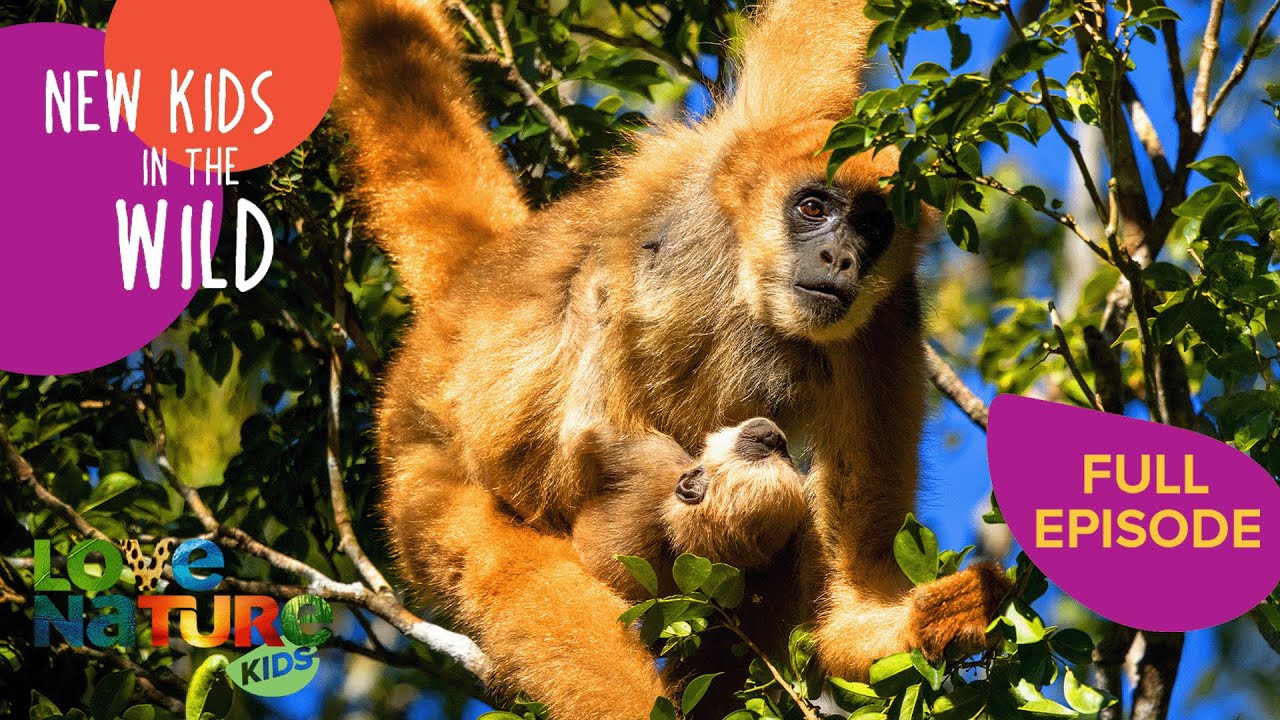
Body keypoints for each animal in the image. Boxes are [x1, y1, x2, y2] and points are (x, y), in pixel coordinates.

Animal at [334, 0, 1013, 717]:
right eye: (813, 208)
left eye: (872, 229)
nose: (841, 258)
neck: (744, 288)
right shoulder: (734, 153)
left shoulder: (879, 326)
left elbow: (846, 604)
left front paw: (919, 624)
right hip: (420, 473)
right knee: (510, 570)